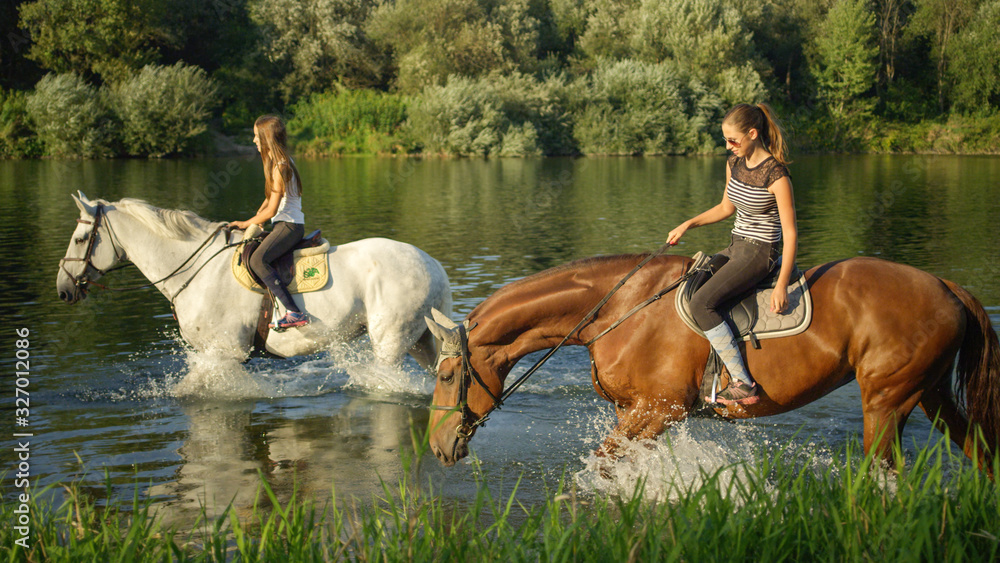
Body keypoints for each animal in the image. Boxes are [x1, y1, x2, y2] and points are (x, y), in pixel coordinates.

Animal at [56, 192, 456, 368]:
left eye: (80, 238)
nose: (63, 289)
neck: (197, 269)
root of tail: (435, 265)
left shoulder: (225, 353)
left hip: (392, 341)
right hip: (420, 340)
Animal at [422, 254, 1000, 472]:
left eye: (447, 375)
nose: (437, 446)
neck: (619, 308)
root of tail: (945, 285)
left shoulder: (656, 410)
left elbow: (598, 469)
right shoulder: (638, 415)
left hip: (887, 400)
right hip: (929, 394)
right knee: (980, 449)